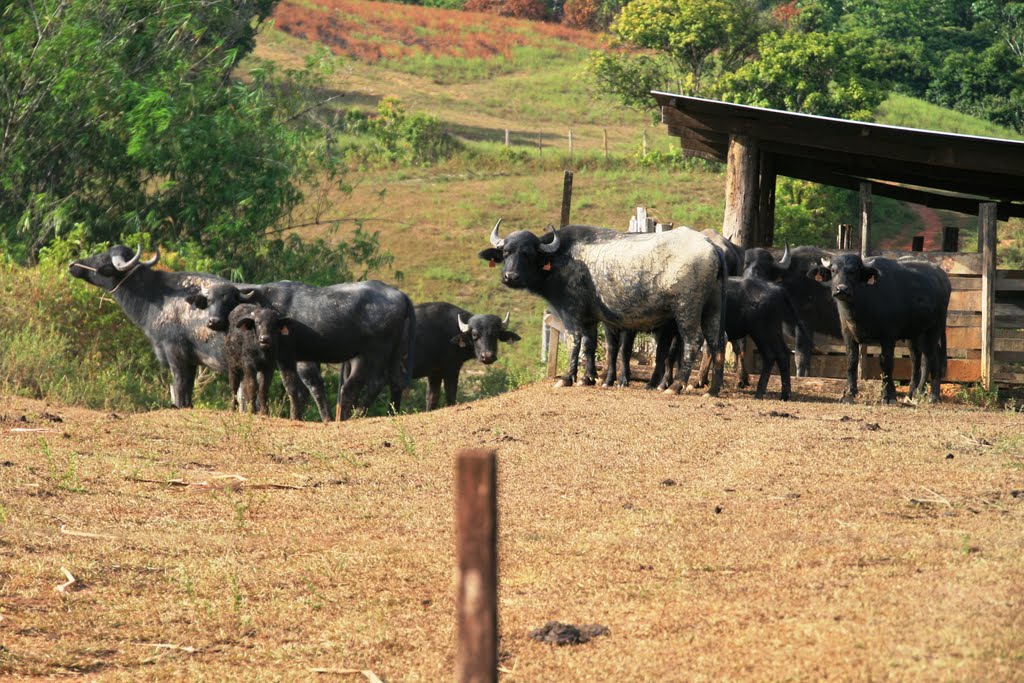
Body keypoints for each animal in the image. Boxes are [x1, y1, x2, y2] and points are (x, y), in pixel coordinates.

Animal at [188, 280, 415, 419]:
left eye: (229, 299)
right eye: (209, 301)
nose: (213, 321)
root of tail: (401, 295)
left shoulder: (288, 357)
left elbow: (297, 387)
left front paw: (300, 416)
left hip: (375, 353)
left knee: (371, 382)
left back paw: (357, 413)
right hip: (393, 353)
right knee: (394, 380)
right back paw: (391, 412)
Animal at [479, 216, 729, 393]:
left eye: (528, 254)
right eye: (505, 252)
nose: (510, 277)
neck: (562, 258)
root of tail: (710, 246)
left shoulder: (572, 313)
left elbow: (575, 342)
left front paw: (568, 378)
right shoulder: (592, 318)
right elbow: (590, 344)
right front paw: (588, 378)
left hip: (687, 309)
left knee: (693, 341)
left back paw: (676, 386)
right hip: (713, 308)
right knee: (716, 342)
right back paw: (712, 389)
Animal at [806, 253, 950, 403]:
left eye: (854, 272)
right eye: (834, 271)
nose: (842, 289)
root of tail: (943, 278)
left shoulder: (888, 336)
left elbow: (886, 363)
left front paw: (888, 396)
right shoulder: (847, 333)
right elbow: (851, 361)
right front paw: (849, 394)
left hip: (935, 328)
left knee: (931, 357)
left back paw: (931, 396)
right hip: (915, 334)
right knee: (917, 359)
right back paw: (912, 394)